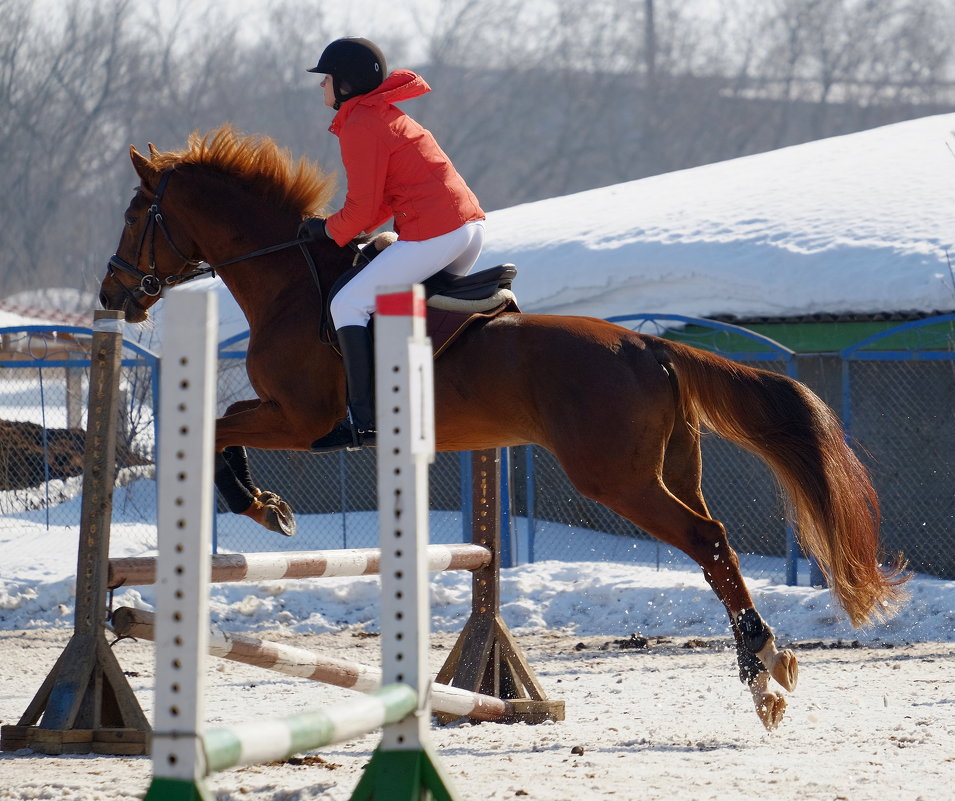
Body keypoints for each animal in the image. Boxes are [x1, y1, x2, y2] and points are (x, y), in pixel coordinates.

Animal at [101, 125, 908, 732]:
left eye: (137, 213)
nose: (112, 293)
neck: (292, 284)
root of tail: (649, 347)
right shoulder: (291, 418)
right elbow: (221, 426)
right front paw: (266, 505)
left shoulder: (302, 419)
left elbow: (218, 428)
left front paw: (261, 506)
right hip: (672, 467)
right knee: (716, 545)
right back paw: (763, 666)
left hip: (616, 478)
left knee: (706, 540)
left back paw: (760, 669)